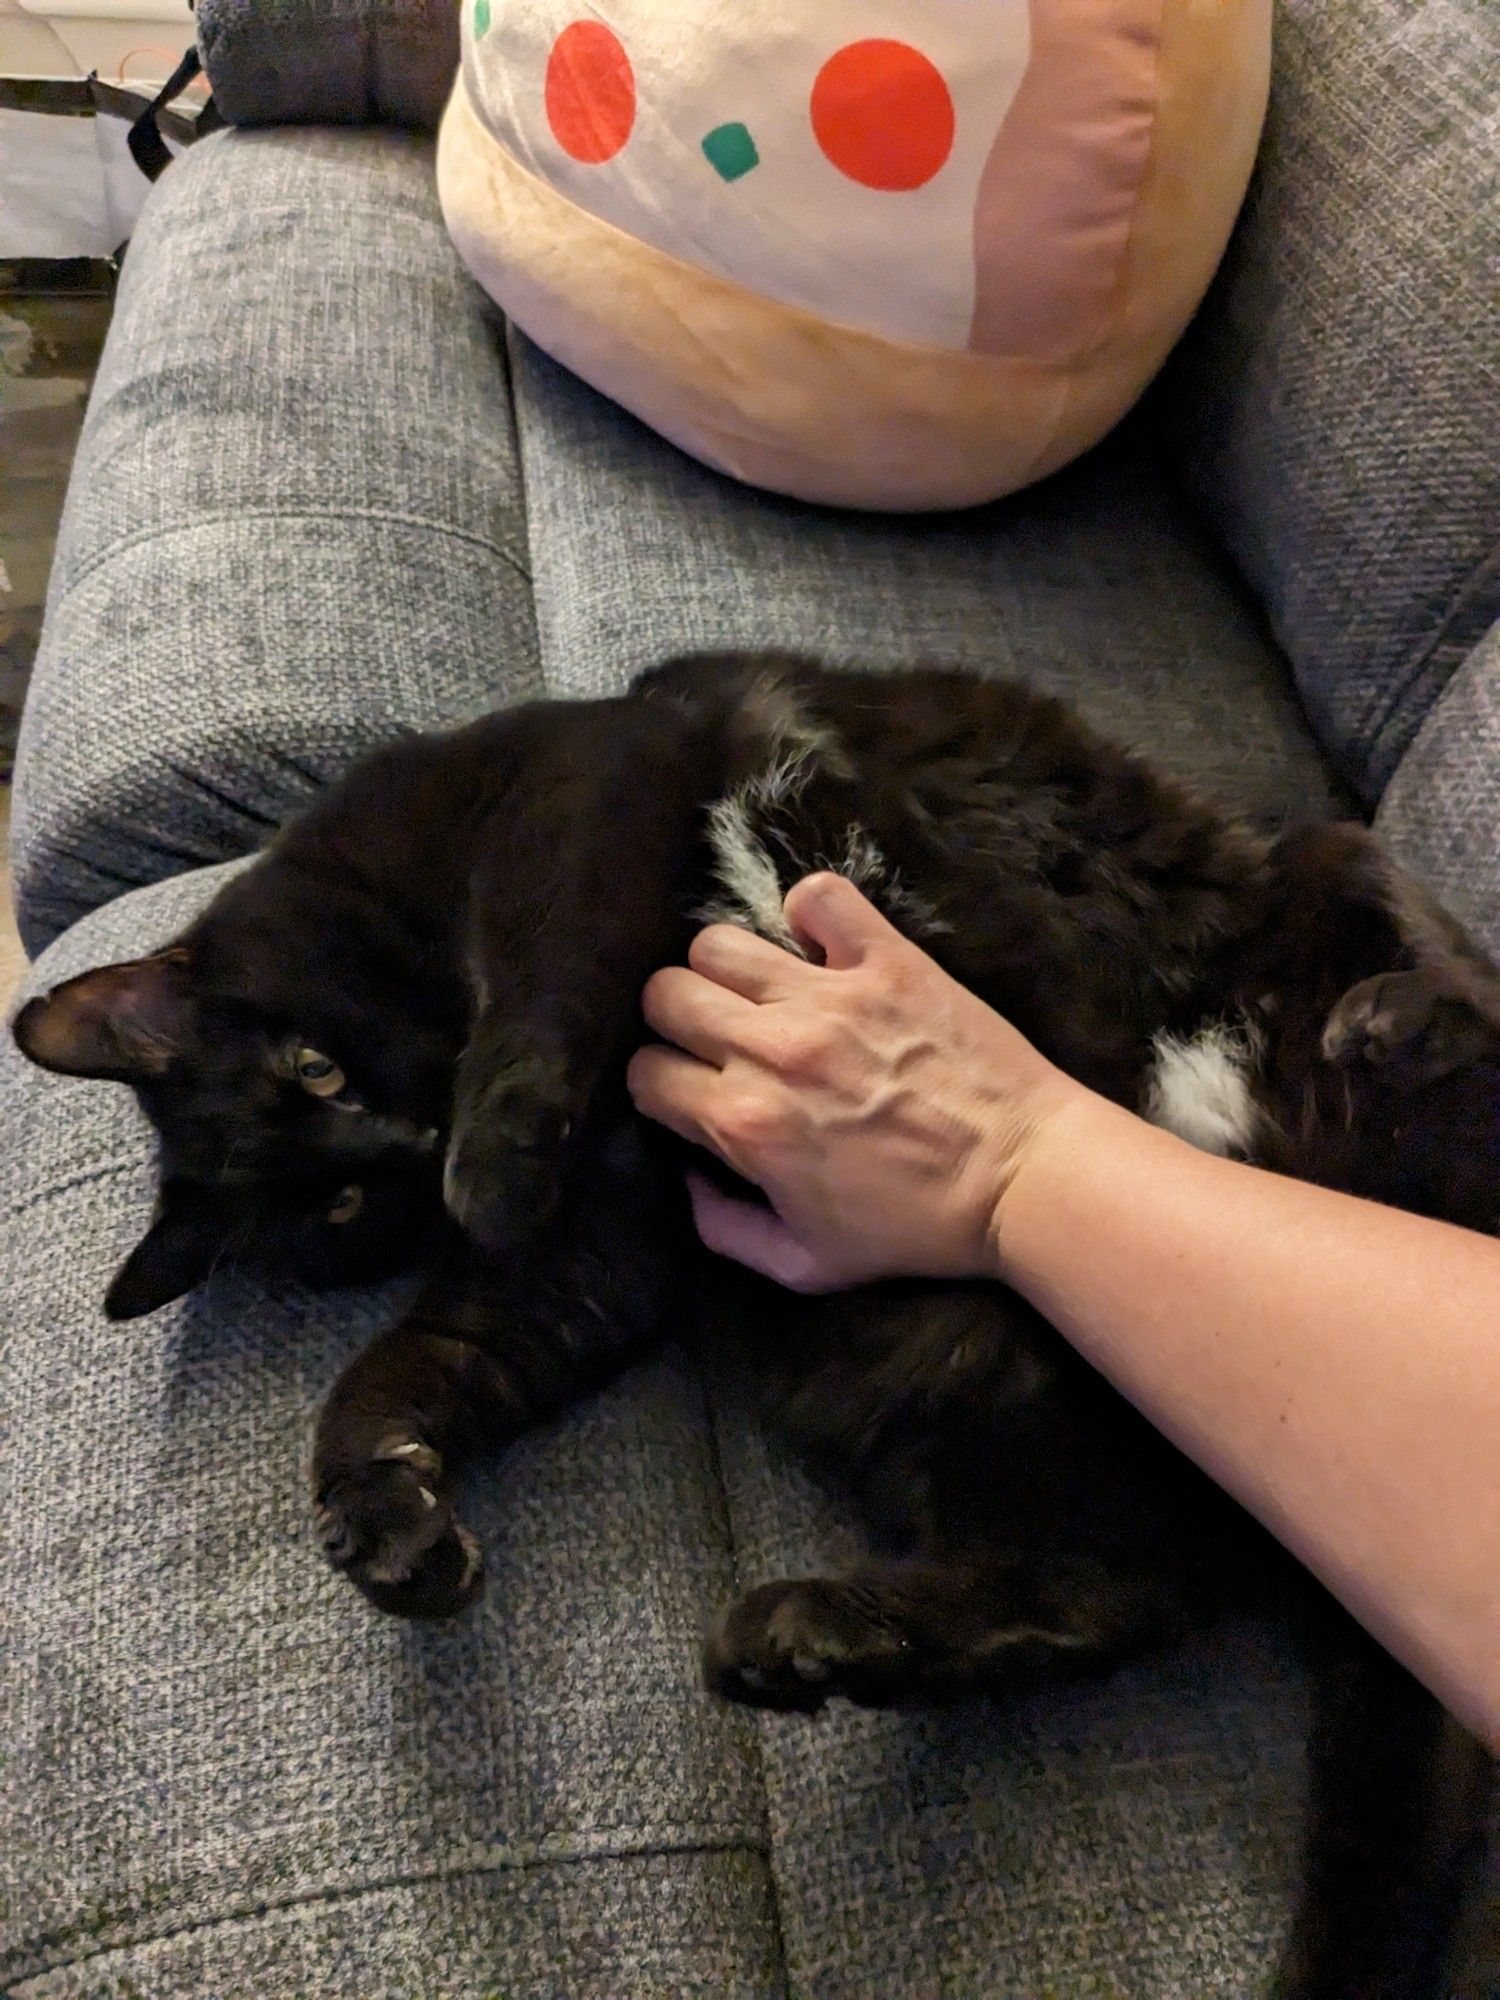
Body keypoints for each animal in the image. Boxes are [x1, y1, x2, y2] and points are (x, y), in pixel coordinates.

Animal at [14, 660, 1500, 2000]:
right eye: (335, 1203)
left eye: (311, 1069)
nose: (412, 1143)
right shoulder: (606, 1248)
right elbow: (418, 1359)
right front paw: (385, 1517)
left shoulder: (584, 781)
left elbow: (541, 960)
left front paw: (495, 1152)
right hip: (948, 1359)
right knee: (1100, 1584)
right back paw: (810, 1638)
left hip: (1321, 870)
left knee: (1437, 971)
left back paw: (1399, 1023)